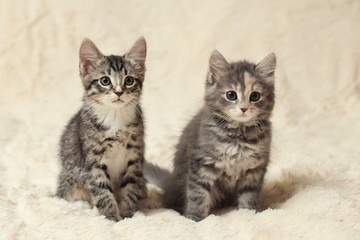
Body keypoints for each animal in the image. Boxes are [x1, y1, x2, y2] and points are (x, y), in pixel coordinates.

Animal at [56, 37, 146, 221]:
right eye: (105, 81)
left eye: (129, 80)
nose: (119, 92)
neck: (115, 119)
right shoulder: (93, 160)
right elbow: (102, 190)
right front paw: (111, 217)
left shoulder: (135, 156)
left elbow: (130, 187)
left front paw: (129, 214)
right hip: (70, 174)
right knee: (64, 194)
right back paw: (83, 205)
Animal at [145, 50, 278, 221]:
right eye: (231, 95)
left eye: (254, 96)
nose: (243, 108)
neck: (237, 136)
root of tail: (169, 184)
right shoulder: (202, 164)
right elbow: (198, 194)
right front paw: (194, 218)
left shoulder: (254, 169)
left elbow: (249, 194)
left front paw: (249, 212)